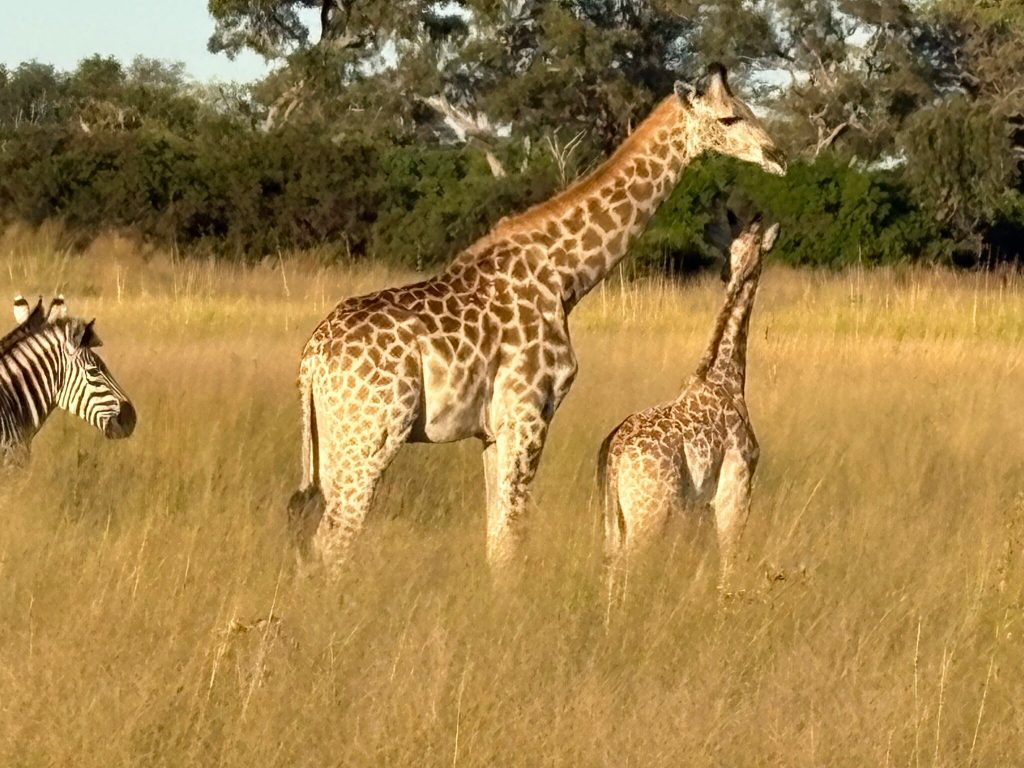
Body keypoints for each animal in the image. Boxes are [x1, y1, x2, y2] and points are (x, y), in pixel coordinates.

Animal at [597, 208, 780, 601]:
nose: (728, 274)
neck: (726, 378)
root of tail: (616, 455)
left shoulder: (699, 503)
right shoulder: (734, 489)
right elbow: (729, 560)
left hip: (612, 520)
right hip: (648, 517)